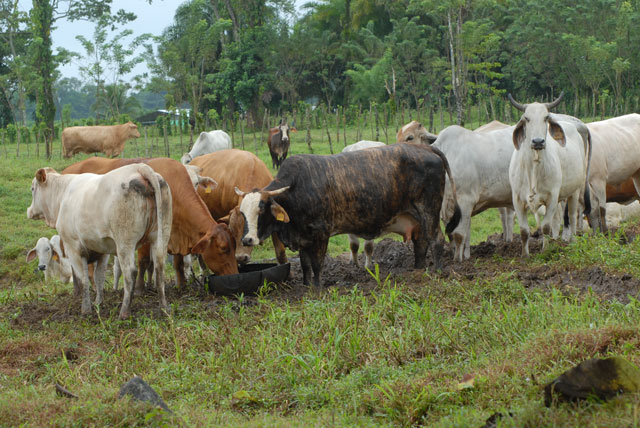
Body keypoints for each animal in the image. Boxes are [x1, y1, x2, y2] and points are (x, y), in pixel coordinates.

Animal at [26, 164, 172, 318]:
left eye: (32, 188)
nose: (29, 211)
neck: (63, 194)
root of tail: (139, 167)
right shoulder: (102, 250)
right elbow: (99, 277)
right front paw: (98, 303)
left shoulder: (73, 248)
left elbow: (83, 279)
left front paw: (86, 309)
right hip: (161, 235)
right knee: (159, 267)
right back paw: (164, 307)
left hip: (125, 243)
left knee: (130, 272)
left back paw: (124, 312)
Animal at [62, 155, 239, 290]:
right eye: (223, 248)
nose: (235, 275)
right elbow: (144, 261)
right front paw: (140, 288)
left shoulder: (175, 234)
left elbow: (178, 263)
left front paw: (181, 285)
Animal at [235, 142, 460, 286]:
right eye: (242, 212)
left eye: (261, 209)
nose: (247, 239)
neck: (296, 189)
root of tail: (424, 147)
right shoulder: (303, 238)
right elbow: (305, 265)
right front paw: (306, 285)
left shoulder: (321, 233)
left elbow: (317, 264)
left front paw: (317, 287)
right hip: (417, 217)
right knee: (420, 243)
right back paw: (417, 271)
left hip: (429, 210)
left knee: (436, 239)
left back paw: (437, 271)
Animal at [508, 92, 592, 256]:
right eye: (526, 118)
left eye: (546, 117)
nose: (538, 141)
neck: (533, 168)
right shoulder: (517, 200)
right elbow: (524, 231)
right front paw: (525, 255)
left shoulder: (552, 197)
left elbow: (546, 227)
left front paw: (545, 251)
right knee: (557, 219)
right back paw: (556, 239)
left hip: (574, 191)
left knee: (572, 216)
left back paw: (572, 240)